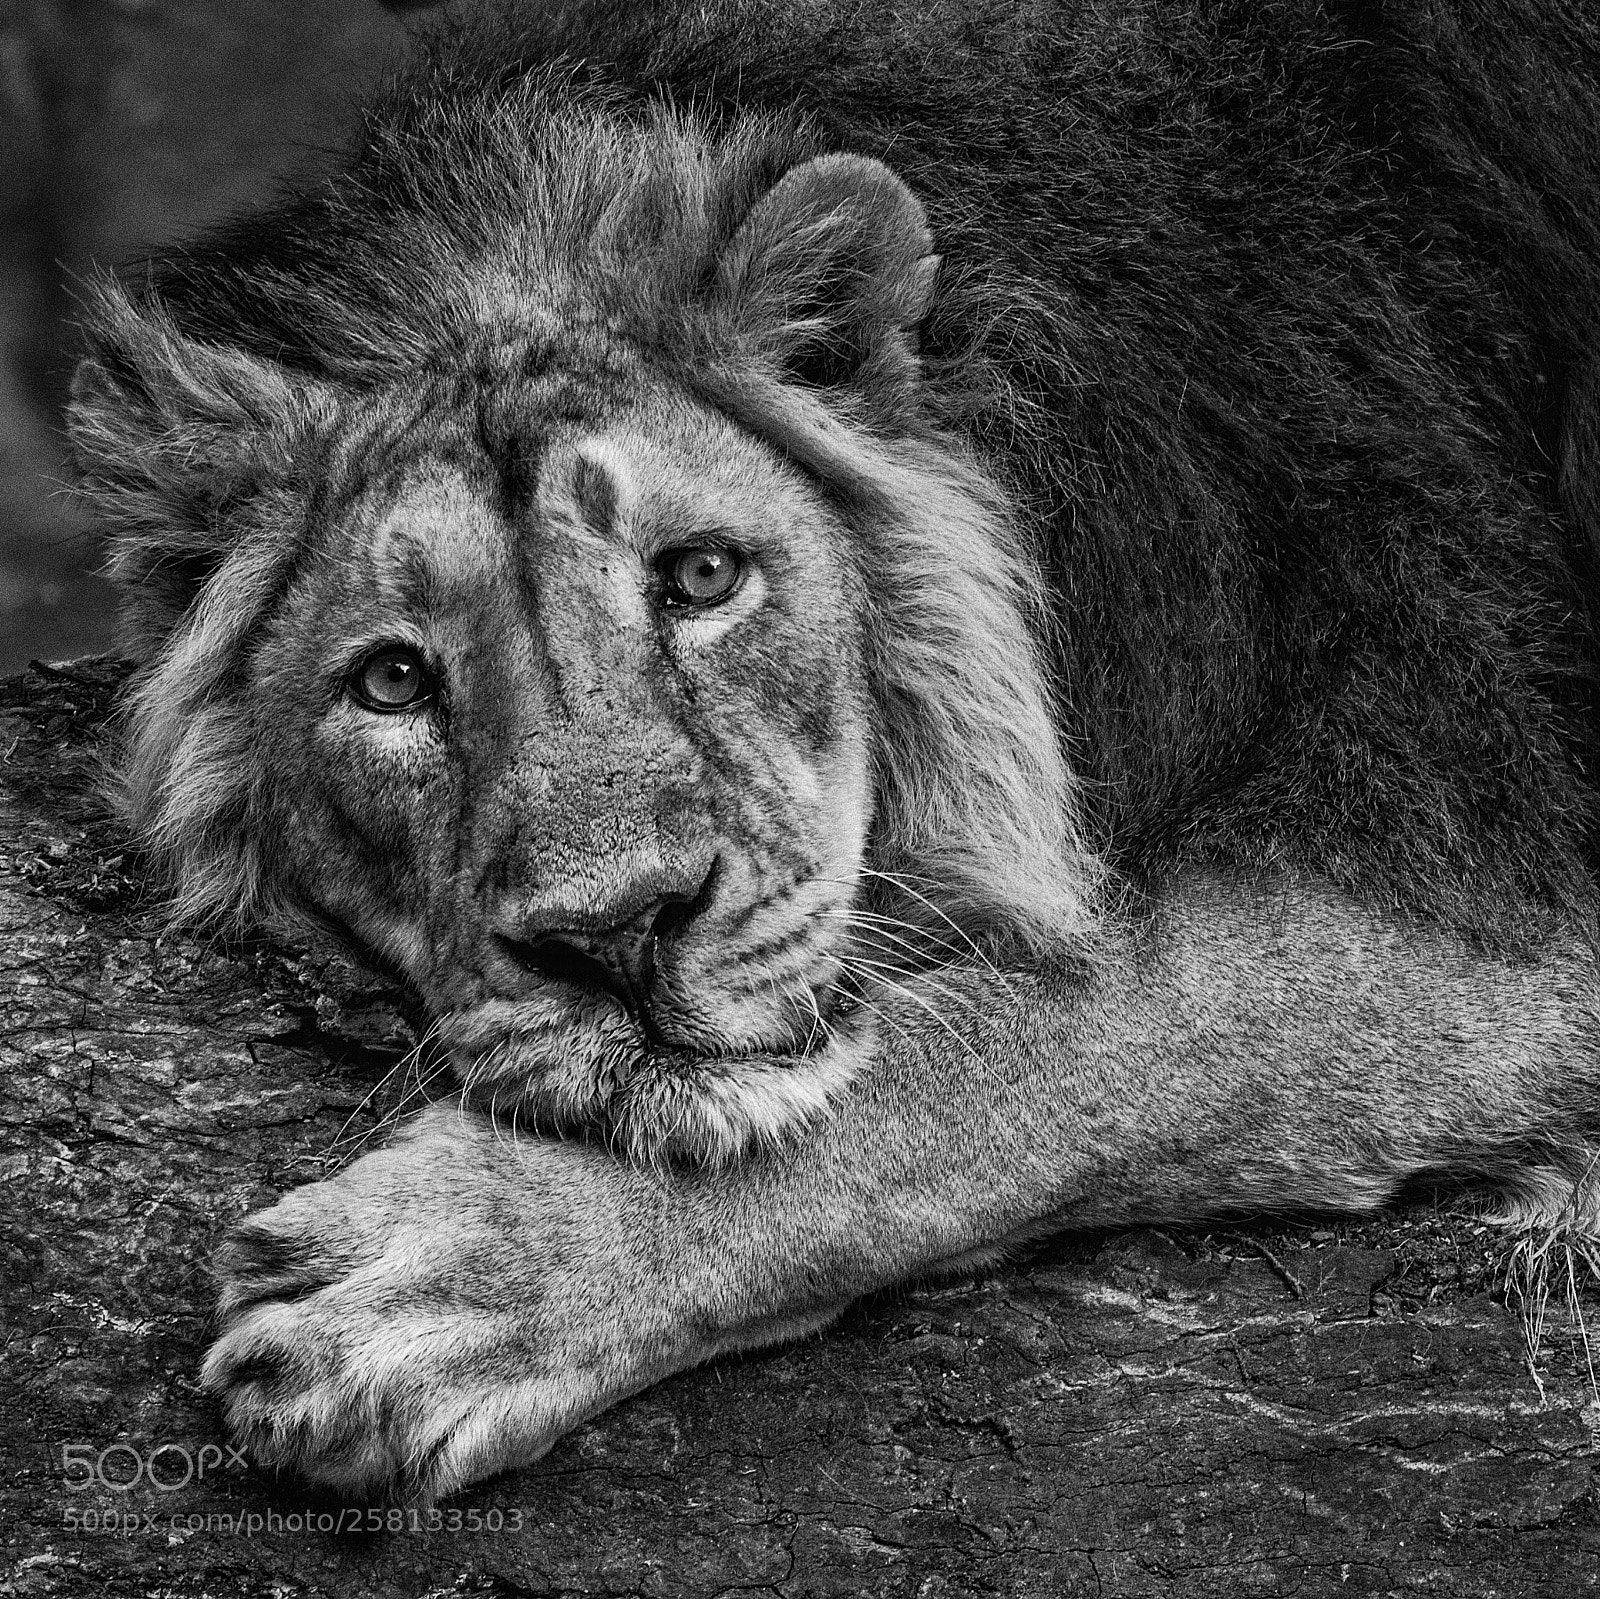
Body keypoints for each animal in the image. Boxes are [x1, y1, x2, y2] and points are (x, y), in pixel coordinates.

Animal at [66, 0, 1600, 1502]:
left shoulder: (1484, 839)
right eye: (391, 679)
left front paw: (447, 1281)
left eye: (700, 574)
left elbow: (1039, 1052)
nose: (618, 934)